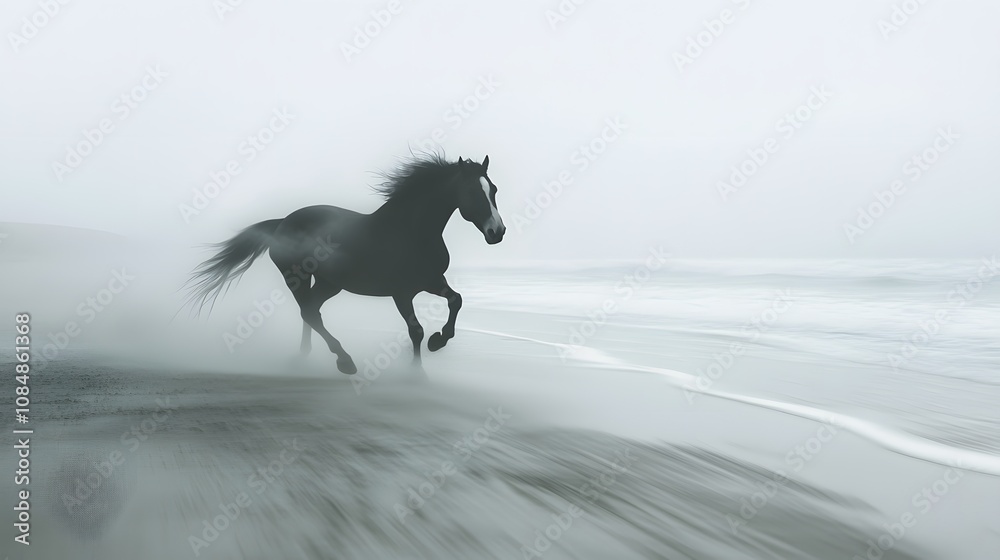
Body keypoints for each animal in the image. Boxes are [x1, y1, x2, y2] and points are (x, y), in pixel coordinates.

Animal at [184, 154, 506, 374]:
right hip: (296, 278)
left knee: (312, 310)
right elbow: (415, 330)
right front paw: (417, 372)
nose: (498, 232)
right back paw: (345, 361)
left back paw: (306, 355)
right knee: (309, 312)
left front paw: (438, 341)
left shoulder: (431, 281)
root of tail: (282, 222)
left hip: (329, 283)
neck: (411, 232)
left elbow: (456, 300)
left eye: (494, 190)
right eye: (472, 192)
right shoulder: (401, 292)